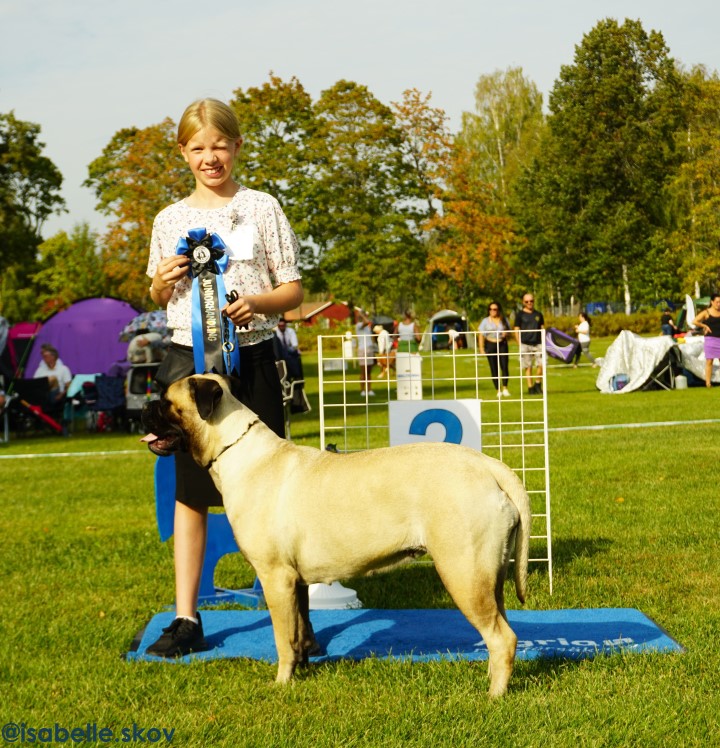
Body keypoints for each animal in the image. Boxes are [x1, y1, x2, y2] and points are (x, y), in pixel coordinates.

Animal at [143, 372, 532, 696]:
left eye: (165, 403)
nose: (144, 407)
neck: (235, 448)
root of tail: (488, 466)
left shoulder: (275, 578)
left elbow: (282, 637)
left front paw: (282, 682)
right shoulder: (295, 583)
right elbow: (299, 629)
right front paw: (301, 669)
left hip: (463, 574)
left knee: (502, 638)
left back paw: (494, 694)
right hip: (488, 577)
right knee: (501, 628)